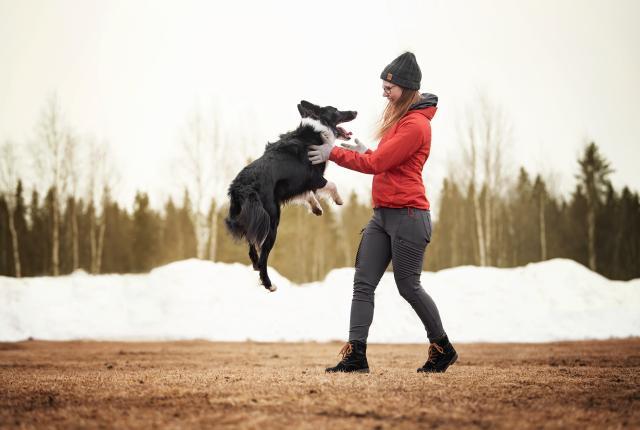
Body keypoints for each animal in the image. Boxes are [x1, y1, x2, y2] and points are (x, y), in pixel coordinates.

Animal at [225, 99, 358, 290]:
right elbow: (331, 185)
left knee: (251, 246)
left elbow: (307, 195)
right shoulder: (314, 178)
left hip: (254, 218)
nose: (355, 111)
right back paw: (268, 284)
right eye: (336, 110)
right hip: (271, 220)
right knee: (263, 254)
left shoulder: (299, 184)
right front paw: (338, 199)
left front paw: (316, 208)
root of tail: (242, 186)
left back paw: (256, 266)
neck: (318, 128)